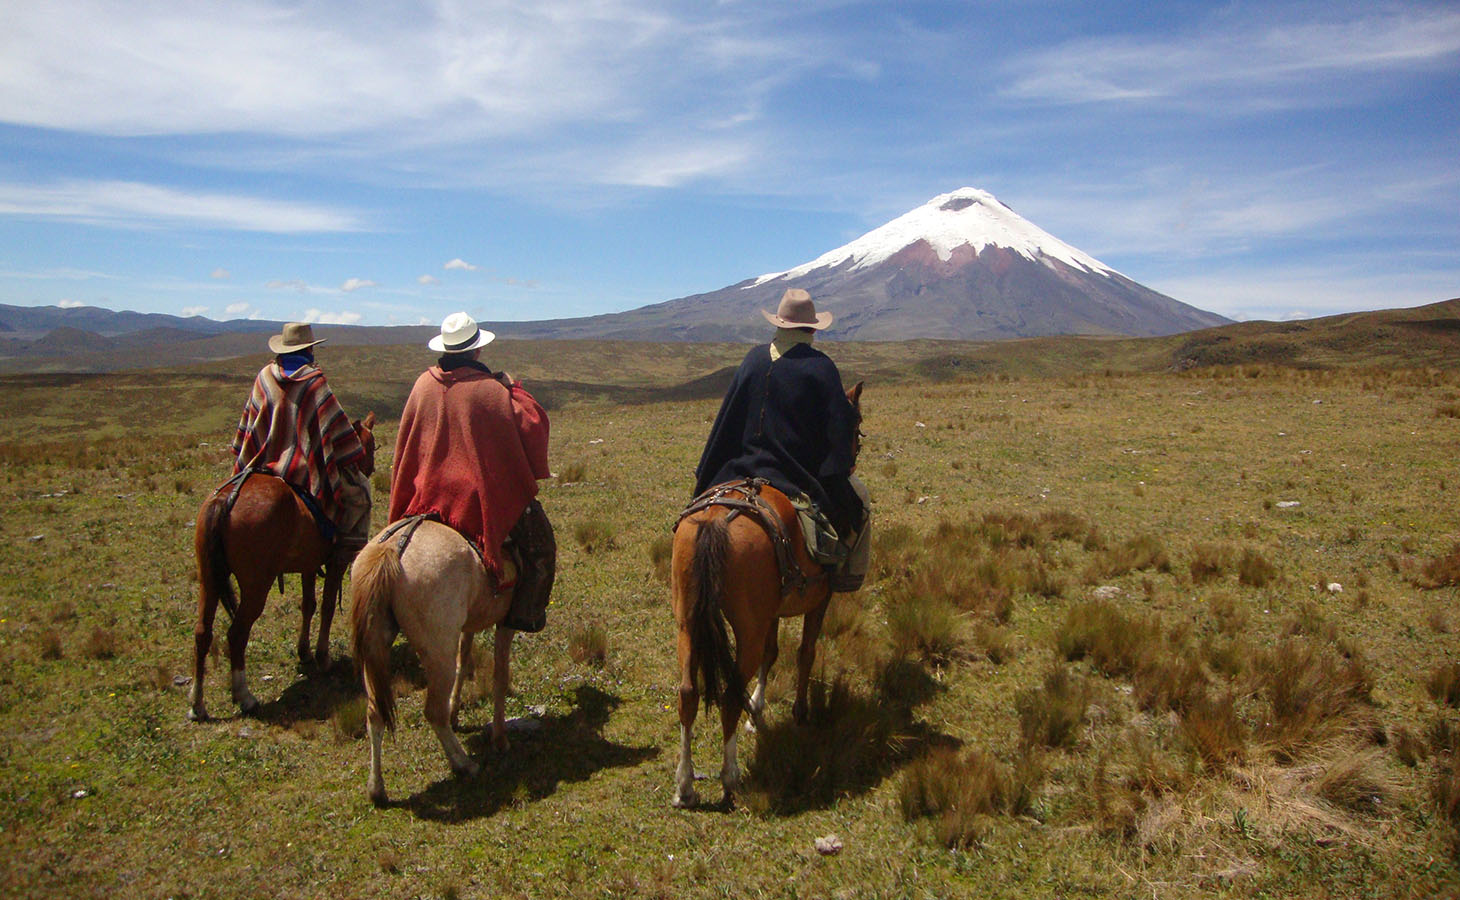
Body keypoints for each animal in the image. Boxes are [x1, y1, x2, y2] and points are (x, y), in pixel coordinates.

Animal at [350, 517, 534, 806]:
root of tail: (393, 549)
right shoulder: (506, 623)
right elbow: (500, 677)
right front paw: (500, 739)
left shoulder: (468, 626)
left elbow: (465, 659)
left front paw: (456, 712)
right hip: (437, 654)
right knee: (433, 712)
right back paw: (464, 765)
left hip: (375, 650)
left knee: (375, 713)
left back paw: (376, 788)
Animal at [674, 379, 864, 806]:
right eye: (857, 428)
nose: (853, 461)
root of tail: (716, 518)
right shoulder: (818, 601)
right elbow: (806, 652)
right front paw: (799, 712)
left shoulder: (772, 612)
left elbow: (772, 653)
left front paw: (757, 711)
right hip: (746, 626)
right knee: (729, 692)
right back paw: (729, 778)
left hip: (688, 620)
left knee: (688, 692)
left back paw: (684, 785)